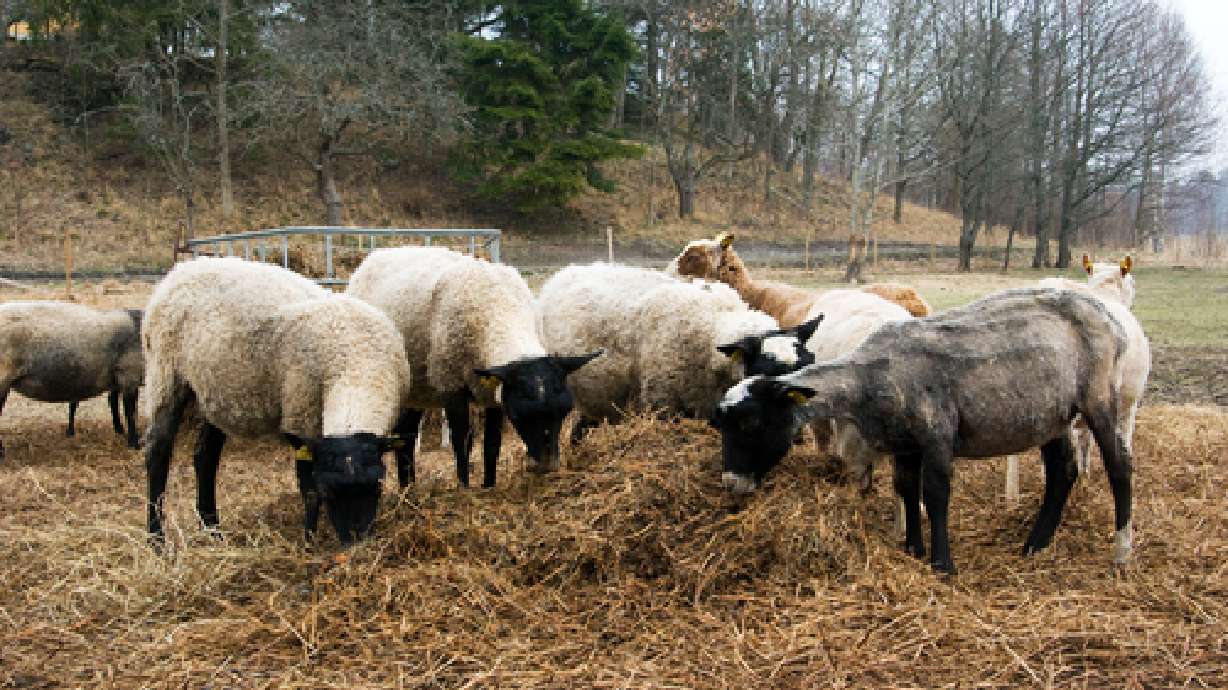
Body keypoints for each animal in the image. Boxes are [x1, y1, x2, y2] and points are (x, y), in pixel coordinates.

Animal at [0, 301, 143, 459]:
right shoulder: (129, 375)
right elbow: (131, 412)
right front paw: (135, 443)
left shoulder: (118, 378)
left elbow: (114, 402)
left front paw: (119, 430)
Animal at [142, 257, 411, 544]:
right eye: (330, 492)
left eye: (378, 487)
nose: (355, 541)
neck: (355, 366)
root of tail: (182, 268)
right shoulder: (301, 418)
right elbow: (309, 490)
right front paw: (309, 541)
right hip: (165, 374)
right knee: (157, 451)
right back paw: (157, 540)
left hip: (215, 391)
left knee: (205, 456)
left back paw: (213, 530)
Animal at [346, 247, 601, 489]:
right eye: (520, 415)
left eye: (565, 411)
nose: (547, 466)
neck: (498, 308)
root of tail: (379, 254)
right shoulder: (451, 385)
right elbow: (462, 441)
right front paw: (464, 487)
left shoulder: (495, 393)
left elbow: (492, 443)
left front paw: (489, 484)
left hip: (418, 389)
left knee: (406, 434)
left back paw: (409, 489)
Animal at [539, 263, 820, 443]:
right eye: (765, 373)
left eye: (809, 364)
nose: (797, 435)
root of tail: (564, 273)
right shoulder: (662, 404)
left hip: (604, 397)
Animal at [712, 287, 1139, 574]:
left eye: (751, 422)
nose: (733, 483)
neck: (867, 379)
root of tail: (1108, 317)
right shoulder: (905, 444)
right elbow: (906, 489)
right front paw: (912, 549)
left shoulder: (936, 435)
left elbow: (934, 495)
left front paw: (941, 563)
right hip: (1051, 414)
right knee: (1062, 472)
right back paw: (1036, 543)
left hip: (1099, 397)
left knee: (1120, 467)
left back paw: (1121, 552)